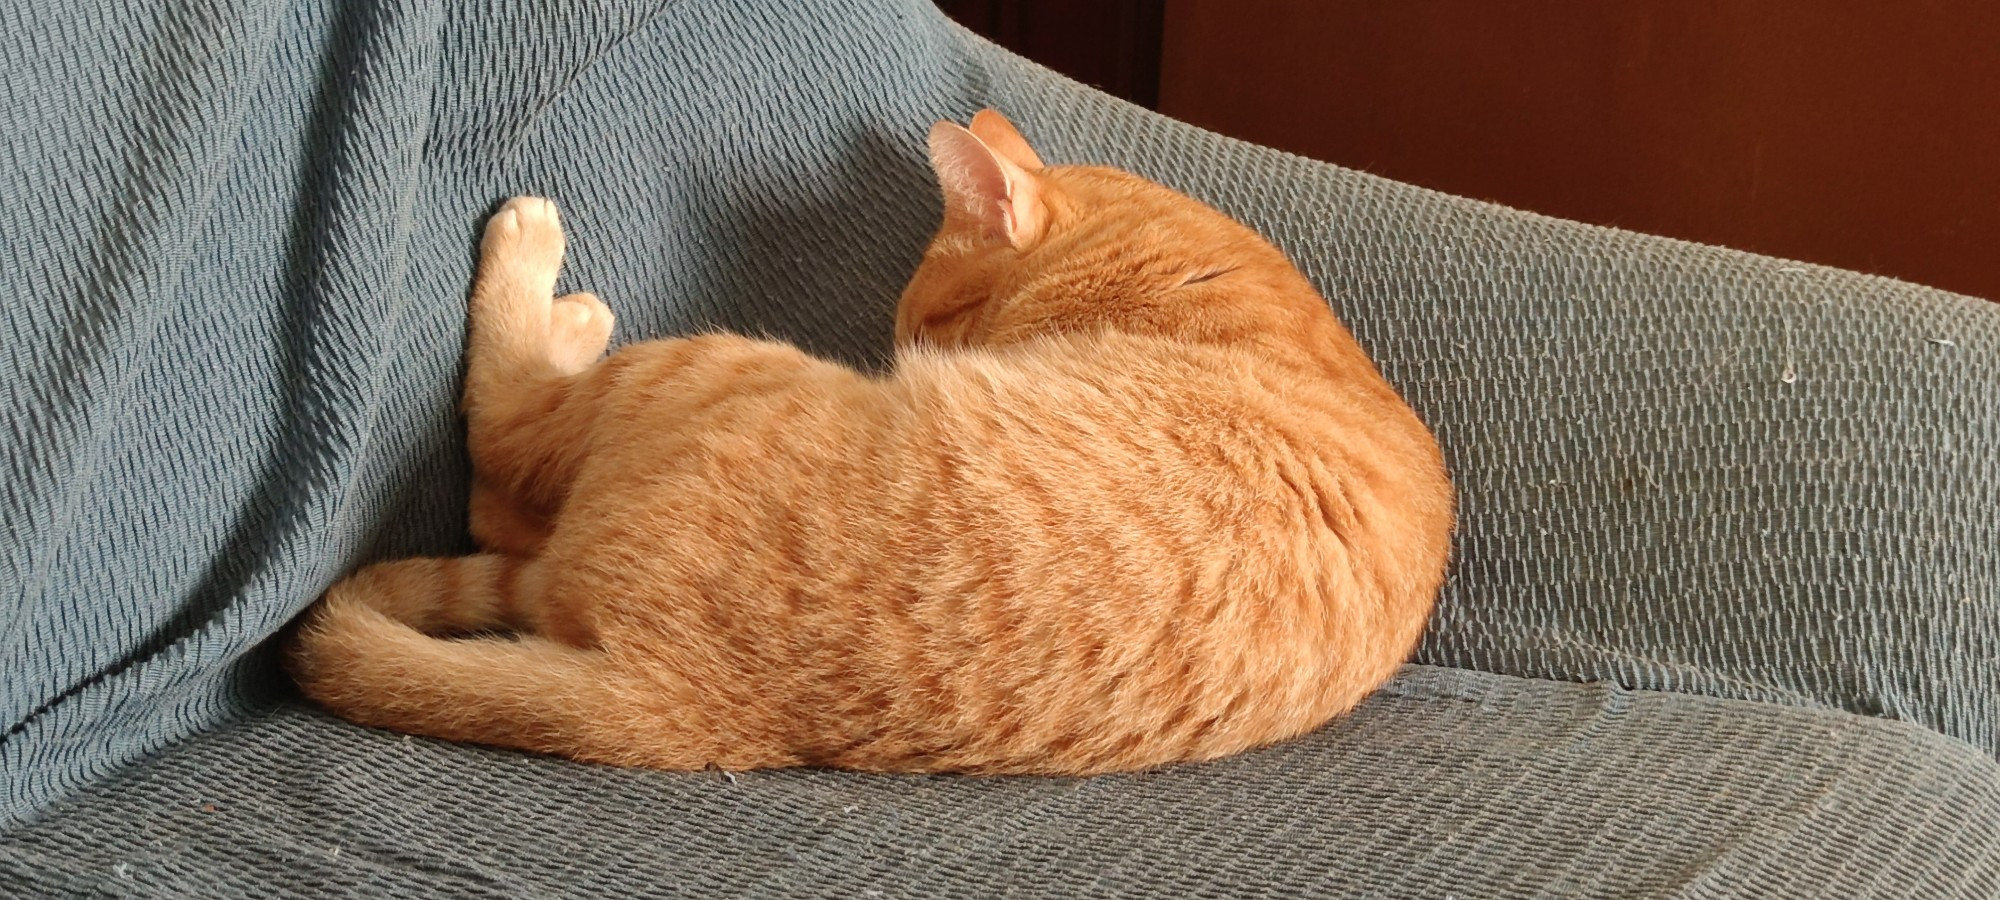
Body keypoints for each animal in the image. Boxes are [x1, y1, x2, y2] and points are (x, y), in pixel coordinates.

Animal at [286, 110, 1456, 772]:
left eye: (922, 323)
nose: (894, 354)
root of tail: (685, 697)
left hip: (703, 364)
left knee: (499, 451)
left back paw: (550, 284)